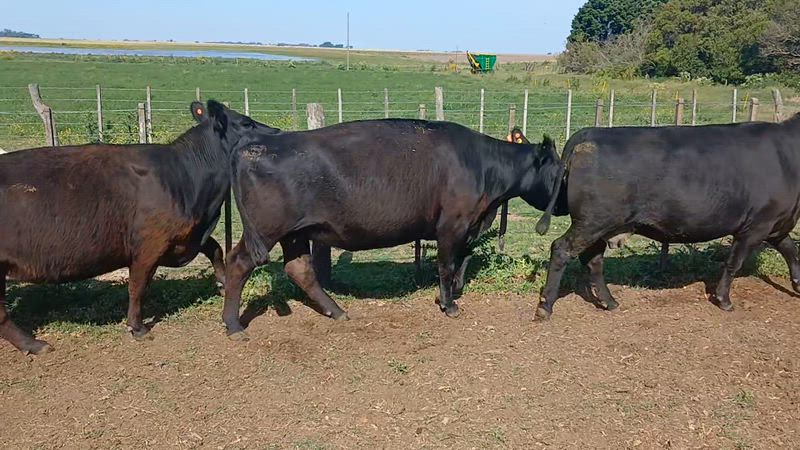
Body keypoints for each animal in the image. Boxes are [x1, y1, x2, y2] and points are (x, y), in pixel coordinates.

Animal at [0, 100, 275, 354]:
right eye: (247, 123)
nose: (276, 132)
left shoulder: (187, 234)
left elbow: (215, 248)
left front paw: (223, 281)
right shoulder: (149, 245)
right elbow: (138, 286)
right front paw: (137, 326)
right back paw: (33, 344)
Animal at [221, 120, 569, 338]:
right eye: (559, 172)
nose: (567, 202)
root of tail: (260, 142)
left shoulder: (469, 225)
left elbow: (463, 261)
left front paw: (453, 292)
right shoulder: (451, 225)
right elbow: (447, 264)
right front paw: (449, 304)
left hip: (295, 232)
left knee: (299, 270)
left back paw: (337, 311)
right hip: (267, 230)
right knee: (237, 263)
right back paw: (234, 325)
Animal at [533, 114, 800, 319]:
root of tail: (590, 133)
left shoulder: (778, 224)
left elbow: (791, 251)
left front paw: (797, 285)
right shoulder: (756, 225)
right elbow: (734, 262)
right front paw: (723, 299)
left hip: (601, 224)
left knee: (593, 259)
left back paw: (610, 302)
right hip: (592, 221)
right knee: (562, 249)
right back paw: (545, 307)